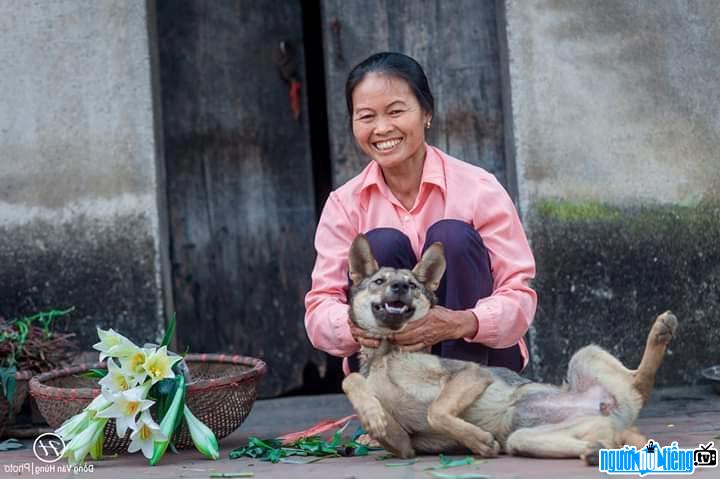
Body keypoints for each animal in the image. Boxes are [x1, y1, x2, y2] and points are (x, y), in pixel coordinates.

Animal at [340, 234, 676, 464]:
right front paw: (372, 415)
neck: (387, 353)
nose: (399, 287)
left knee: (641, 380)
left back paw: (661, 330)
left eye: (411, 285)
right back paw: (600, 451)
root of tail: (614, 414)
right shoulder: (404, 445)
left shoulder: (471, 374)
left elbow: (437, 411)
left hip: (584, 354)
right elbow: (352, 380)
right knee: (607, 438)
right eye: (379, 281)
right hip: (526, 438)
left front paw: (477, 440)